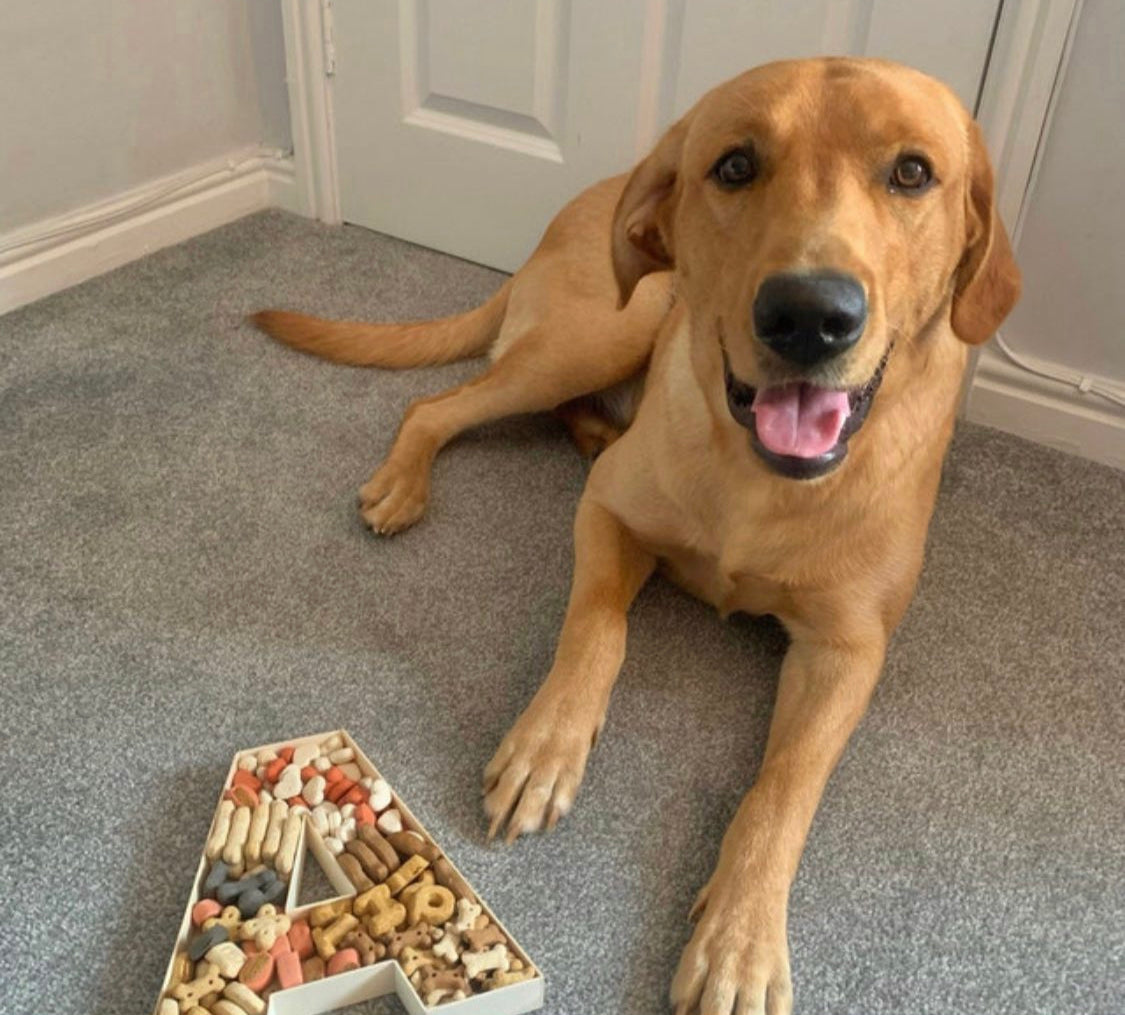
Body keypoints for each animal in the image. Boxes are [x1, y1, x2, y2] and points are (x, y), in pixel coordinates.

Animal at [253, 61, 1021, 1015]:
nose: (807, 314)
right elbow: (597, 628)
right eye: (734, 166)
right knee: (437, 404)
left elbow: (782, 787)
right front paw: (546, 747)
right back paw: (410, 479)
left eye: (912, 173)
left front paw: (738, 938)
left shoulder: (848, 649)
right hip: (608, 324)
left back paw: (589, 429)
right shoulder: (608, 516)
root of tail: (587, 199)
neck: (758, 475)